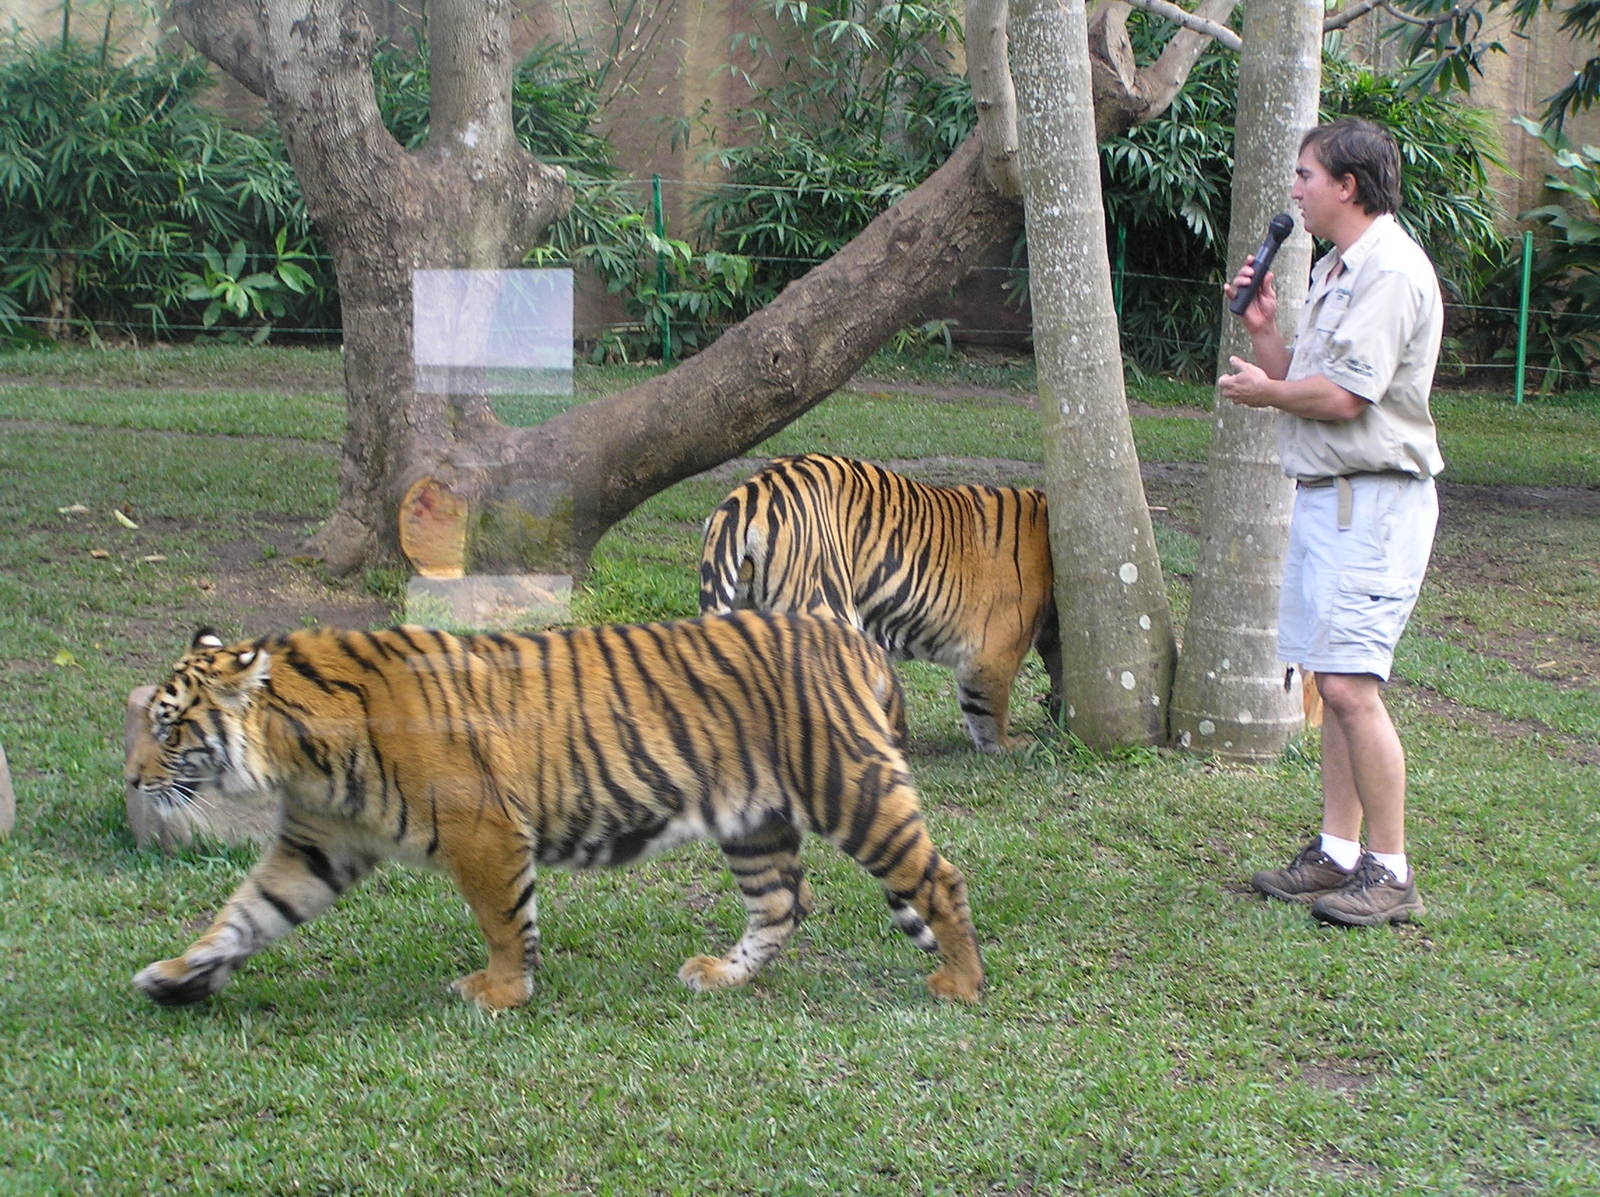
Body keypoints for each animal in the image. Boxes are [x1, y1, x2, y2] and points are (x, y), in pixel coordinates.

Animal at [128, 613, 984, 1012]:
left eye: (168, 728)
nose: (133, 778)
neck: (299, 751)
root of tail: (852, 636)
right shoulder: (315, 844)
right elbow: (244, 914)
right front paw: (177, 975)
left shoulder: (484, 828)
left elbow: (504, 919)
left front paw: (501, 991)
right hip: (755, 819)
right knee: (782, 902)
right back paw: (721, 975)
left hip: (851, 786)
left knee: (939, 877)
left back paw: (962, 982)